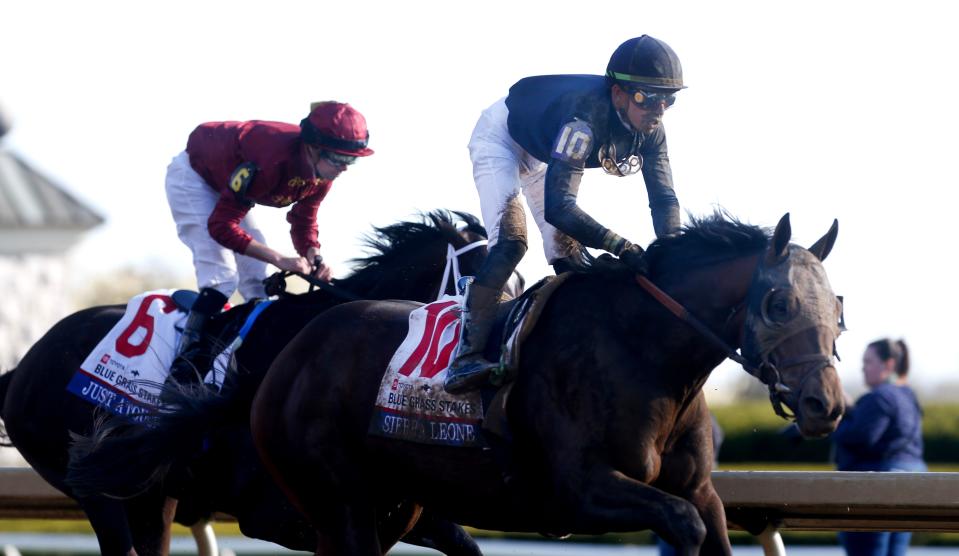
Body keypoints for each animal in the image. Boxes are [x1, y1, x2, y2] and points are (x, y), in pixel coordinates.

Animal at [1, 210, 488, 556]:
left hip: (152, 498)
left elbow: (464, 543)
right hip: (97, 490)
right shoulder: (282, 514)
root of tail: (24, 367)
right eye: (475, 281)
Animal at [244, 211, 844, 552]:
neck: (646, 353)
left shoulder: (699, 490)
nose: (827, 404)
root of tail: (294, 351)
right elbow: (685, 526)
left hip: (390, 506)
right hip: (342, 499)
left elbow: (707, 524)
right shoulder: (581, 489)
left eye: (837, 307)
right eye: (780, 304)